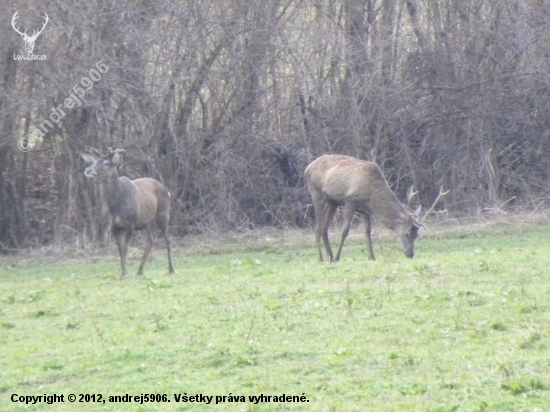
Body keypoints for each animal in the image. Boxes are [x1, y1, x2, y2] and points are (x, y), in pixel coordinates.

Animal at [81, 148, 175, 276]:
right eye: (93, 162)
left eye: (106, 163)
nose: (88, 170)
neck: (115, 205)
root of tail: (167, 190)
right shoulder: (113, 226)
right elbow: (120, 249)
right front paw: (123, 272)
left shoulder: (130, 223)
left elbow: (125, 248)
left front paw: (124, 273)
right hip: (143, 223)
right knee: (149, 242)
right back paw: (140, 271)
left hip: (163, 214)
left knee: (168, 240)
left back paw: (171, 269)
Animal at [304, 154, 450, 260]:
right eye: (407, 233)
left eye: (416, 235)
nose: (410, 255)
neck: (371, 195)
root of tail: (308, 168)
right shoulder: (350, 201)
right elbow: (345, 230)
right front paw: (338, 257)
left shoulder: (366, 210)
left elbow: (368, 231)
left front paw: (372, 257)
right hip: (316, 192)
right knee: (318, 228)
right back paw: (322, 258)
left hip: (333, 202)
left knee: (324, 228)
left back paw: (330, 256)